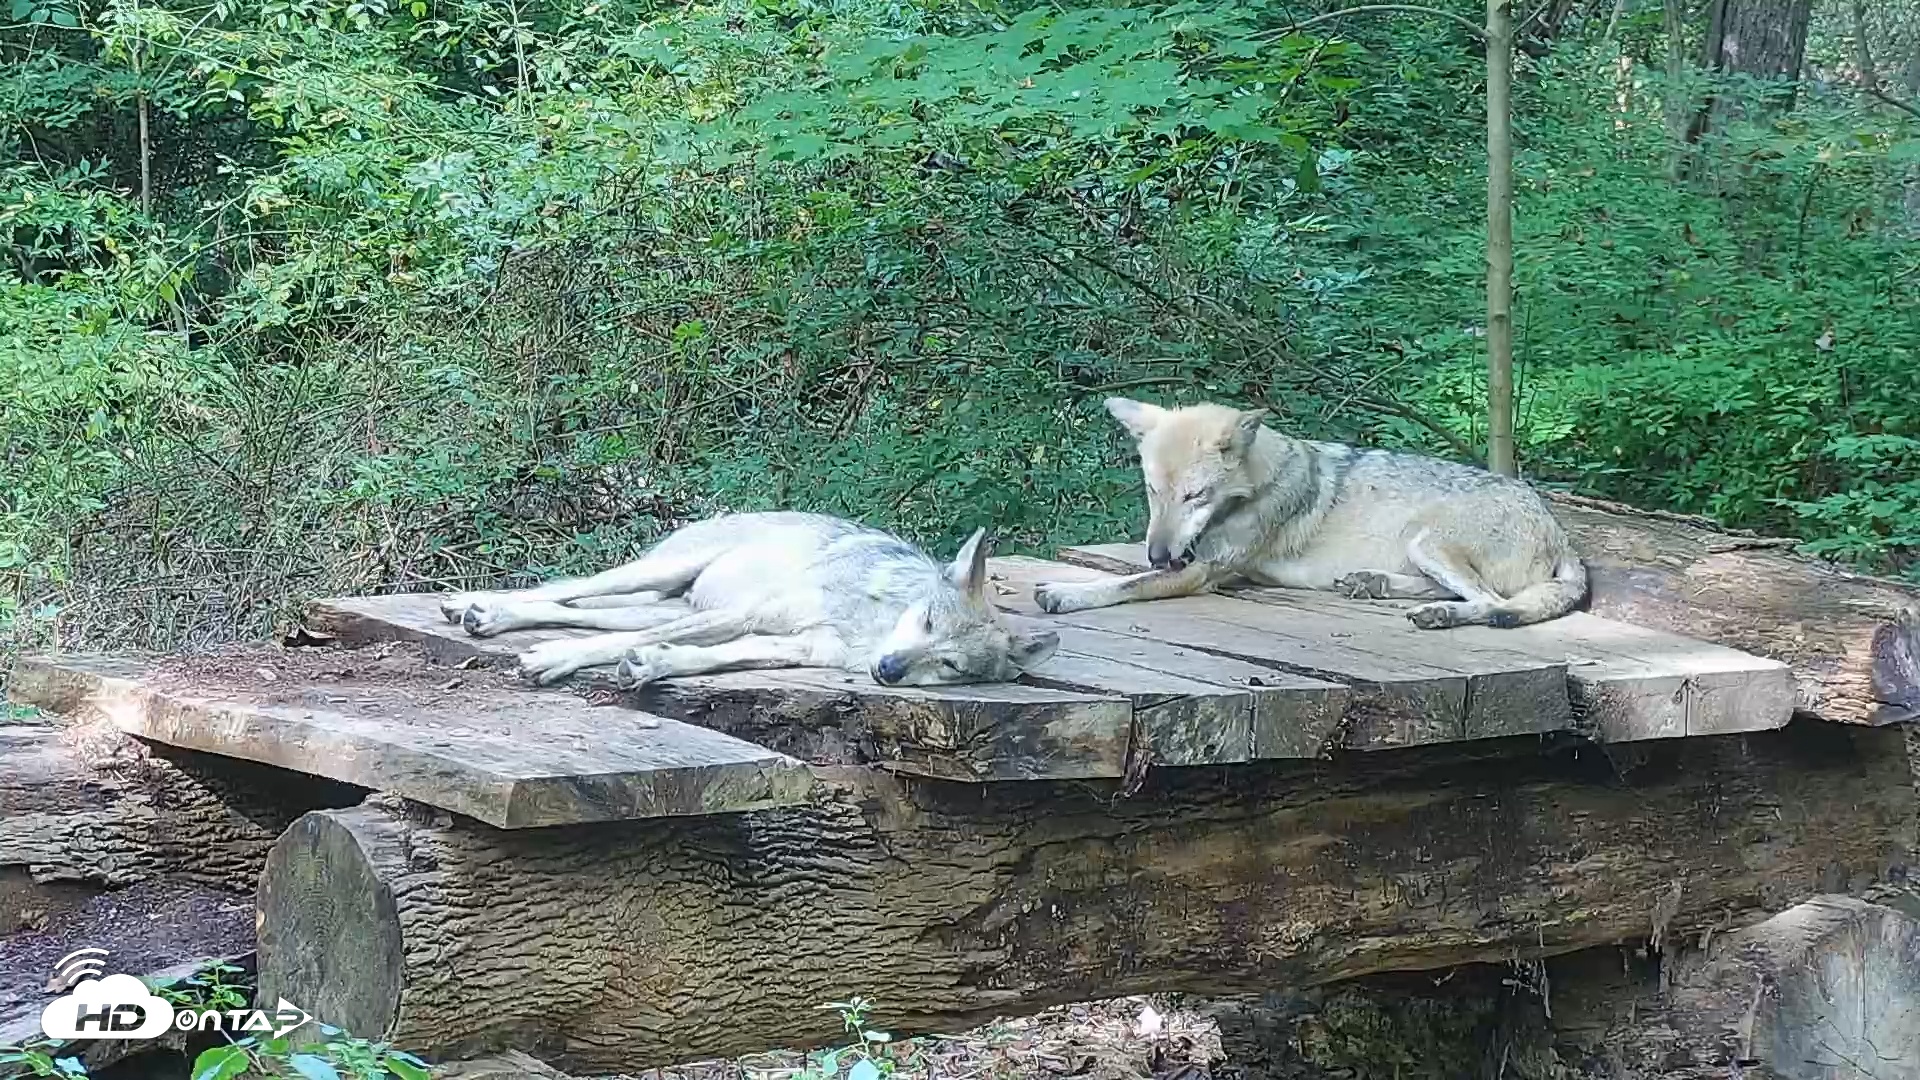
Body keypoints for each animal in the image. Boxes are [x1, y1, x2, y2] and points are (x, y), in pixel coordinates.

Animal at [438, 511, 1060, 692]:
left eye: (951, 665)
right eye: (927, 620)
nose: (887, 671)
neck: (869, 628)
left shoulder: (791, 648)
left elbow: (695, 657)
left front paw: (653, 665)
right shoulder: (748, 615)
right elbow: (624, 641)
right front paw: (554, 658)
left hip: (670, 605)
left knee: (578, 613)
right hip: (660, 573)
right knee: (564, 591)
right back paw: (477, 604)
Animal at [1032, 398, 1588, 629]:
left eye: (1195, 495)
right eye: (1153, 491)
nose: (1159, 554)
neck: (1257, 486)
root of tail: (1559, 531)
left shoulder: (1201, 572)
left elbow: (1125, 585)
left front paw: (1064, 592)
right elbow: (1126, 572)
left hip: (1426, 541)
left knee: (1493, 602)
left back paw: (1438, 615)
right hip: (1421, 549)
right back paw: (1372, 583)